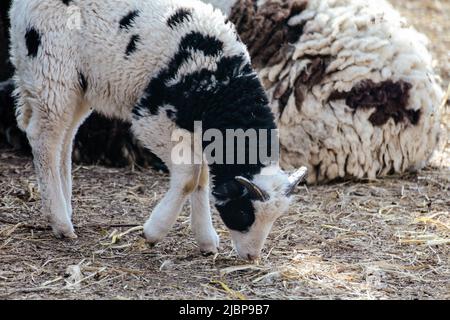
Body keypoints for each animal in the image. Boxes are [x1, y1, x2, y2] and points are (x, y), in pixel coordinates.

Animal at [10, 0, 308, 260]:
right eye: (245, 213)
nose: (251, 257)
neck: (219, 80)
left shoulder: (196, 130)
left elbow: (201, 176)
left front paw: (206, 240)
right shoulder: (152, 117)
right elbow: (190, 176)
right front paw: (154, 231)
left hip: (77, 84)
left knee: (65, 136)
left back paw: (64, 208)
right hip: (52, 66)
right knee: (44, 136)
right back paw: (60, 222)